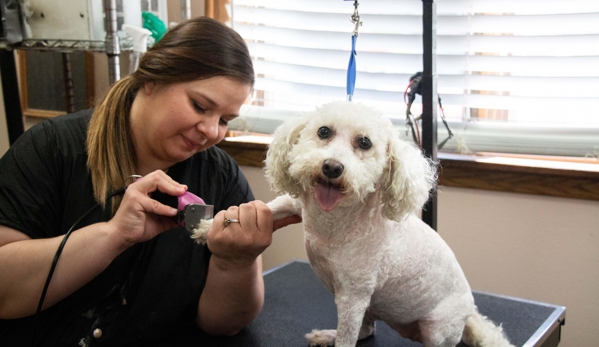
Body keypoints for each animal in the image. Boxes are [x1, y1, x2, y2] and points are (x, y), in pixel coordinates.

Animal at [193, 100, 516, 347]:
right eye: (323, 131)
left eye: (364, 143)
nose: (332, 167)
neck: (333, 220)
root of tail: (471, 314)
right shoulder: (295, 205)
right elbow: (268, 207)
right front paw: (209, 228)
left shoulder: (353, 296)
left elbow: (347, 338)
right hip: (374, 307)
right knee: (368, 330)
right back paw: (327, 336)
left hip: (435, 327)